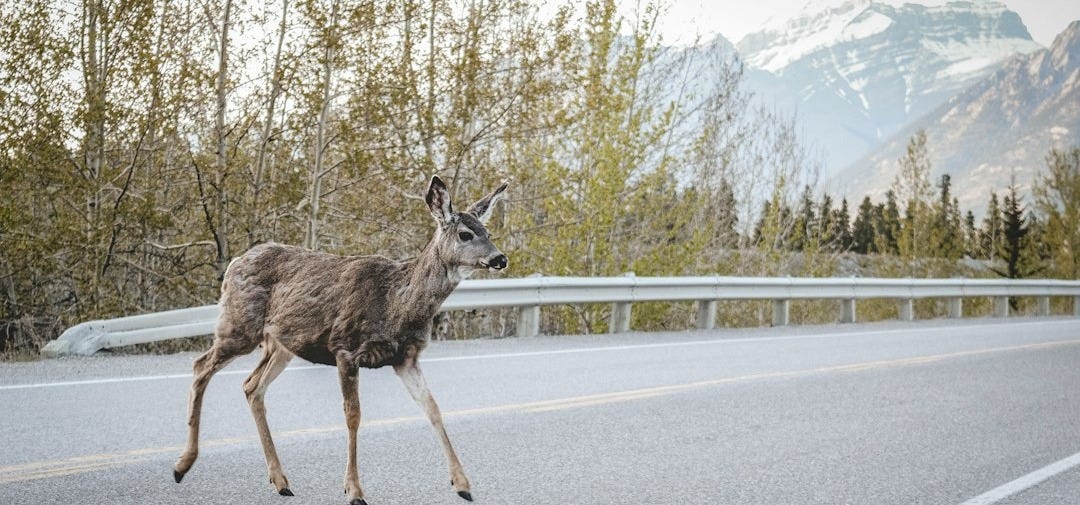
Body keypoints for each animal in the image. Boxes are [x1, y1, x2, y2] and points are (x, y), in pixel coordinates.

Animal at [173, 176, 508, 505]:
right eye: (465, 234)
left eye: (488, 231)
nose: (500, 258)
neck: (396, 303)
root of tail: (235, 263)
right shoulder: (345, 347)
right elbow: (353, 415)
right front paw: (354, 490)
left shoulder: (406, 357)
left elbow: (433, 407)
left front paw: (463, 484)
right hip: (240, 324)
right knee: (201, 366)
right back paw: (182, 465)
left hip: (281, 344)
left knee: (251, 386)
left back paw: (280, 481)